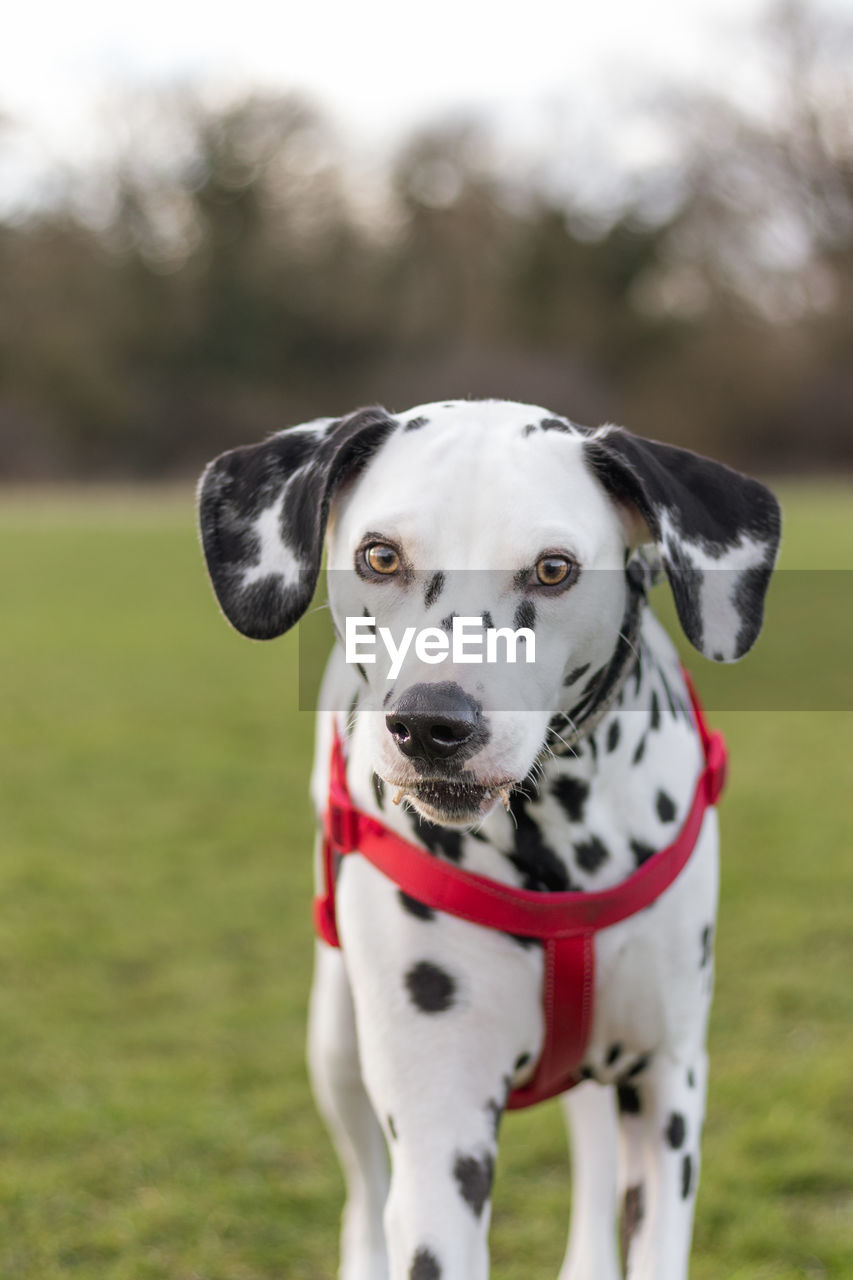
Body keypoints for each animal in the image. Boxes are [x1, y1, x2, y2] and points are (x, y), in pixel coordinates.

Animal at [197, 399, 778, 1280]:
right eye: (379, 555)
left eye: (552, 569)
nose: (431, 723)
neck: (557, 838)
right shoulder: (442, 1132)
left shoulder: (666, 1089)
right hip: (336, 1040)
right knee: (363, 1192)